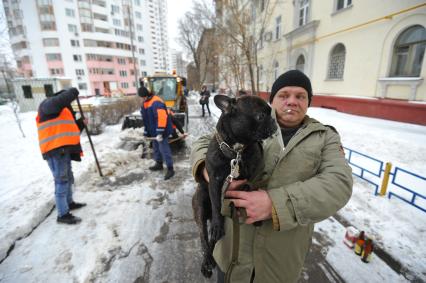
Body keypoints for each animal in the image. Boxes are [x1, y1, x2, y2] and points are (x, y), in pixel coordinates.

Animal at [192, 95, 276, 278]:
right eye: (260, 116)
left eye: (270, 113)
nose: (274, 121)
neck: (237, 151)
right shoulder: (215, 181)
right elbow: (217, 205)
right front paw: (217, 226)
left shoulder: (257, 172)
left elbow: (252, 186)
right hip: (200, 202)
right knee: (203, 236)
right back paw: (207, 261)